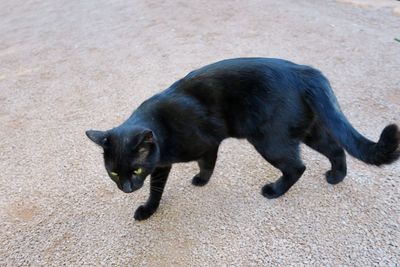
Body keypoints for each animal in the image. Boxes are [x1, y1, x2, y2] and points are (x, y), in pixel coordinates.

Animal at [86, 57, 398, 221]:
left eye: (137, 170)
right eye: (114, 173)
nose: (127, 189)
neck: (159, 126)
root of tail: (306, 72)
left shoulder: (184, 152)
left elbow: (159, 187)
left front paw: (148, 208)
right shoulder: (189, 152)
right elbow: (204, 164)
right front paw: (201, 181)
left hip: (270, 140)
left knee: (297, 166)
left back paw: (274, 191)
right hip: (309, 130)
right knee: (336, 148)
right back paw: (336, 176)